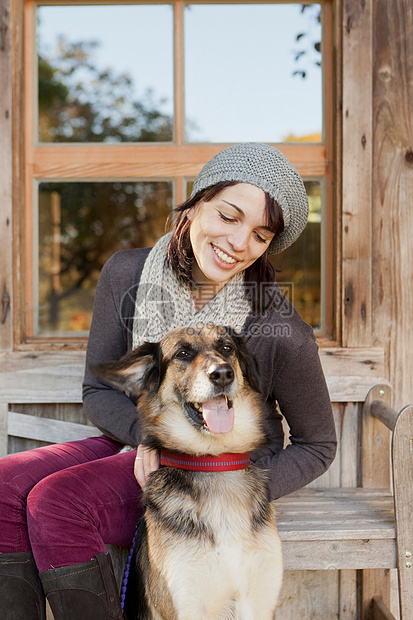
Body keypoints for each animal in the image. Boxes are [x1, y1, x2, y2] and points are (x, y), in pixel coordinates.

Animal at [91, 324, 282, 620]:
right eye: (182, 353)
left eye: (227, 348)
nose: (222, 374)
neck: (215, 463)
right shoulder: (187, 604)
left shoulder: (258, 602)